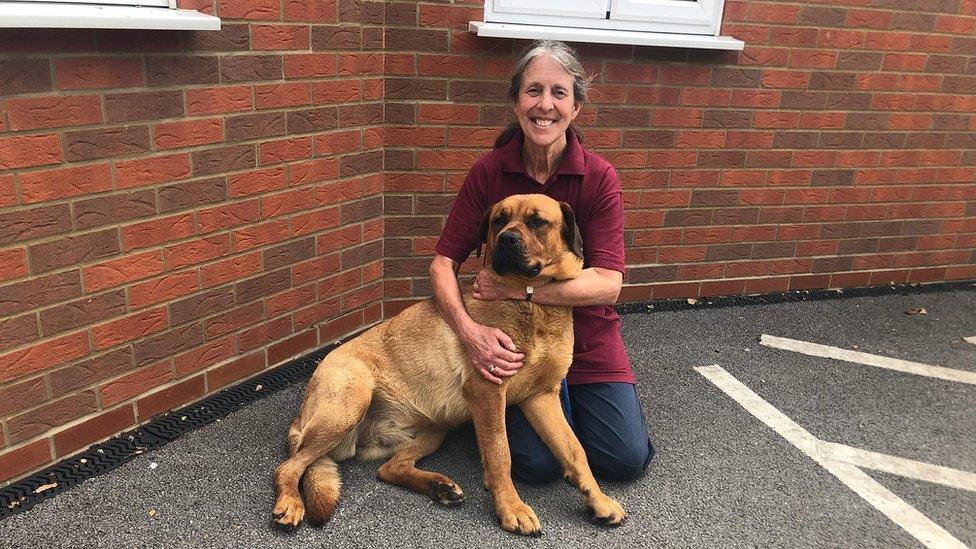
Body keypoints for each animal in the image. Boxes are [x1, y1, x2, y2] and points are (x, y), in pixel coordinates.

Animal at [272, 194, 624, 536]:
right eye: (499, 220)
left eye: (537, 221)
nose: (506, 240)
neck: (530, 303)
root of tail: (302, 413)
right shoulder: (488, 393)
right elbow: (500, 453)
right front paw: (511, 507)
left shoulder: (541, 398)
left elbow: (575, 451)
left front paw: (598, 499)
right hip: (348, 405)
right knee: (288, 466)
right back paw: (290, 502)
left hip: (433, 430)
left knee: (389, 469)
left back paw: (438, 486)